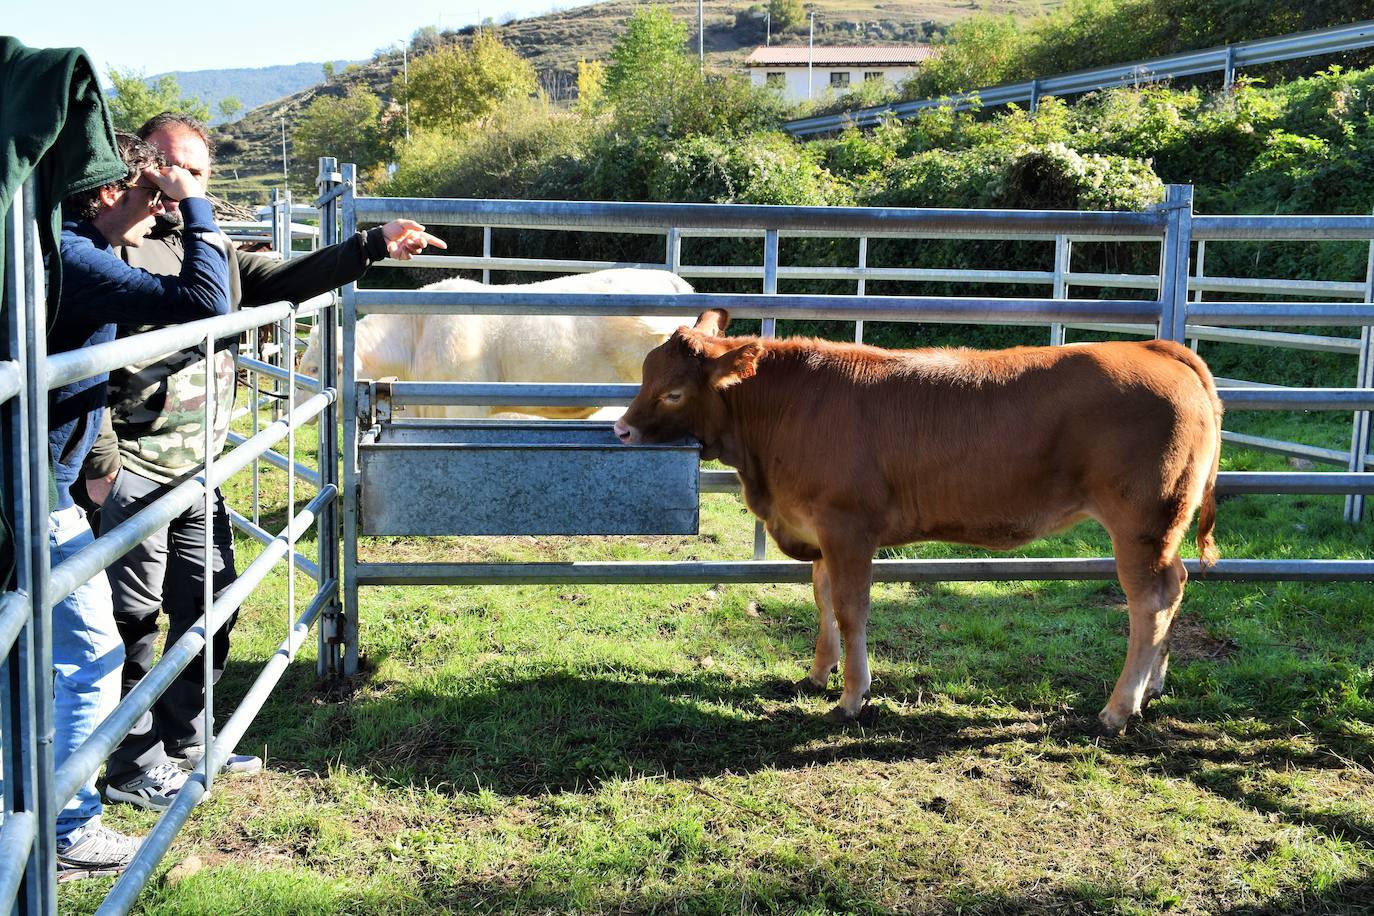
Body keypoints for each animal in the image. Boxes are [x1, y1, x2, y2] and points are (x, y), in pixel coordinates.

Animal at [615, 311, 1225, 736]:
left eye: (673, 392)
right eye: (646, 376)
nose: (621, 429)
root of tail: (1155, 349)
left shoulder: (848, 527)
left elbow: (851, 609)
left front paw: (851, 698)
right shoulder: (819, 532)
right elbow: (821, 597)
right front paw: (817, 674)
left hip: (1141, 522)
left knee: (1149, 603)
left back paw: (1118, 709)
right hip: (1162, 529)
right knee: (1174, 587)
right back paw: (1153, 687)